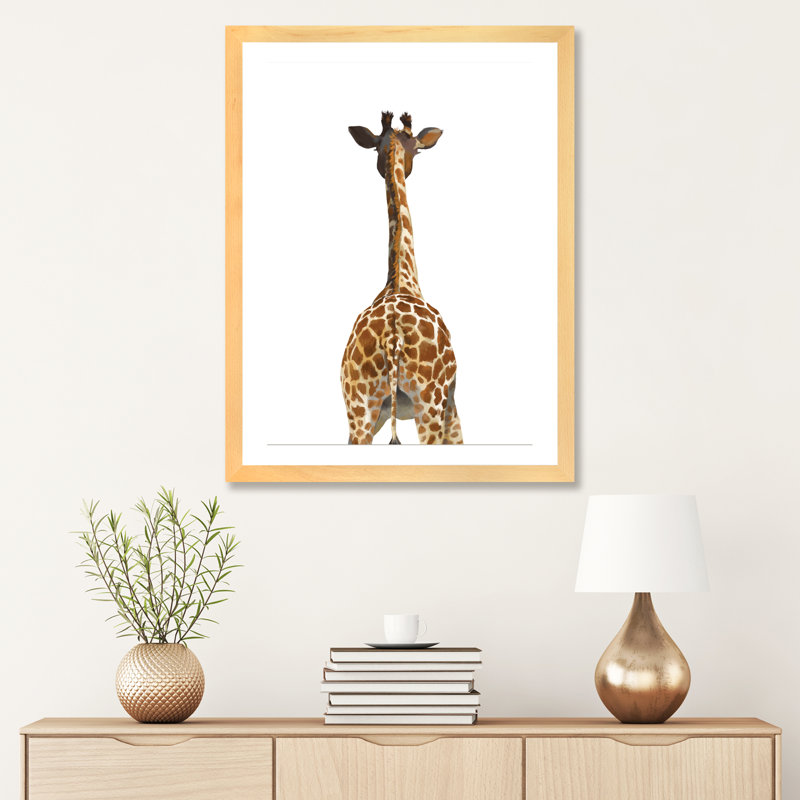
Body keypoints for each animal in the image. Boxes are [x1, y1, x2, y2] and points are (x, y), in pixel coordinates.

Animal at [341, 111, 463, 445]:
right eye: (418, 150)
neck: (402, 280)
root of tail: (392, 338)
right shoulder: (452, 404)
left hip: (359, 410)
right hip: (429, 404)